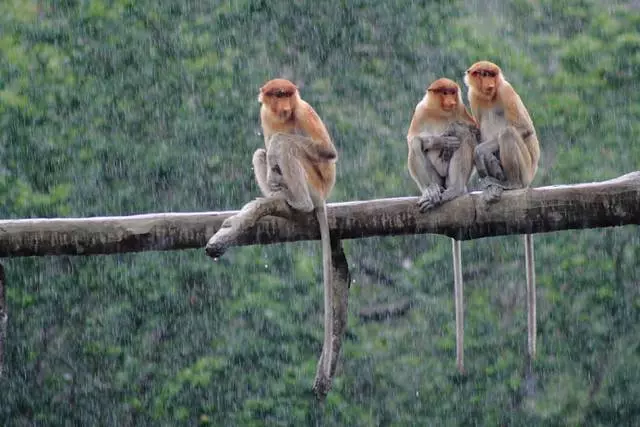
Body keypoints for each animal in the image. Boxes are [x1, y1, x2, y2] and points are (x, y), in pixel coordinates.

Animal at [255, 78, 338, 392]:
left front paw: (279, 147)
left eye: (288, 95)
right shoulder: (265, 115)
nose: (285, 105)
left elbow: (325, 150)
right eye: (277, 96)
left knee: (287, 149)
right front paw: (273, 176)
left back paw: (298, 201)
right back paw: (275, 193)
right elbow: (267, 144)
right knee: (260, 153)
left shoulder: (303, 110)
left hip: (314, 183)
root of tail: (322, 197)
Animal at [464, 61, 540, 362]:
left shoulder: (505, 92)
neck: (489, 96)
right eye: (482, 74)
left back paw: (508, 184)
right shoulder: (473, 98)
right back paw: (490, 182)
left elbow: (523, 129)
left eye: (493, 75)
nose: (489, 83)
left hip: (525, 166)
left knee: (508, 133)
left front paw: (482, 154)